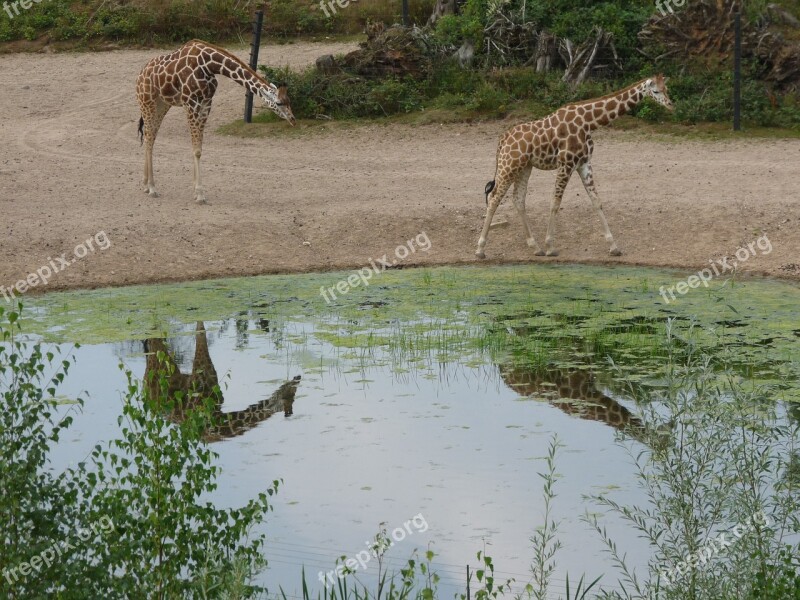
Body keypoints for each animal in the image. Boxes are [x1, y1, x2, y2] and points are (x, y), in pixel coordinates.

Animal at [134, 40, 296, 204]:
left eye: (289, 100)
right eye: (280, 103)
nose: (293, 120)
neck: (209, 64)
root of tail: (141, 74)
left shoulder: (206, 104)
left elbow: (199, 149)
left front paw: (196, 192)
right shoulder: (191, 103)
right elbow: (196, 149)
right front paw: (200, 194)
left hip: (162, 104)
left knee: (150, 137)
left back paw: (146, 184)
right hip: (147, 102)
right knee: (149, 138)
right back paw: (152, 187)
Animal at [476, 74, 676, 258]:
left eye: (666, 88)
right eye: (655, 91)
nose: (670, 105)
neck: (589, 122)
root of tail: (502, 139)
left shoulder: (584, 163)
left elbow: (596, 201)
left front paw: (614, 246)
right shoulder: (566, 163)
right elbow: (555, 202)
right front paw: (551, 246)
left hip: (524, 167)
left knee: (518, 199)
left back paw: (535, 247)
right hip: (509, 165)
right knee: (494, 197)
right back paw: (480, 249)